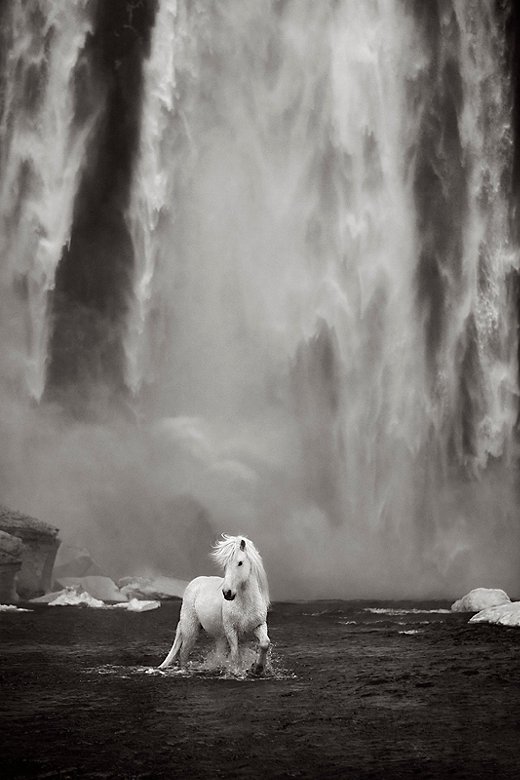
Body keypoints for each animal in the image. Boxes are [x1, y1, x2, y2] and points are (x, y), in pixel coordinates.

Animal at [158, 532, 272, 672]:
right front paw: (237, 672)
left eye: (240, 563)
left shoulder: (259, 626)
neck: (246, 604)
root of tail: (194, 582)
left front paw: (257, 668)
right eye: (225, 565)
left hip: (218, 637)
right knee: (184, 653)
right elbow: (235, 655)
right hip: (190, 629)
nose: (227, 593)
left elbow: (265, 643)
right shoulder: (231, 630)